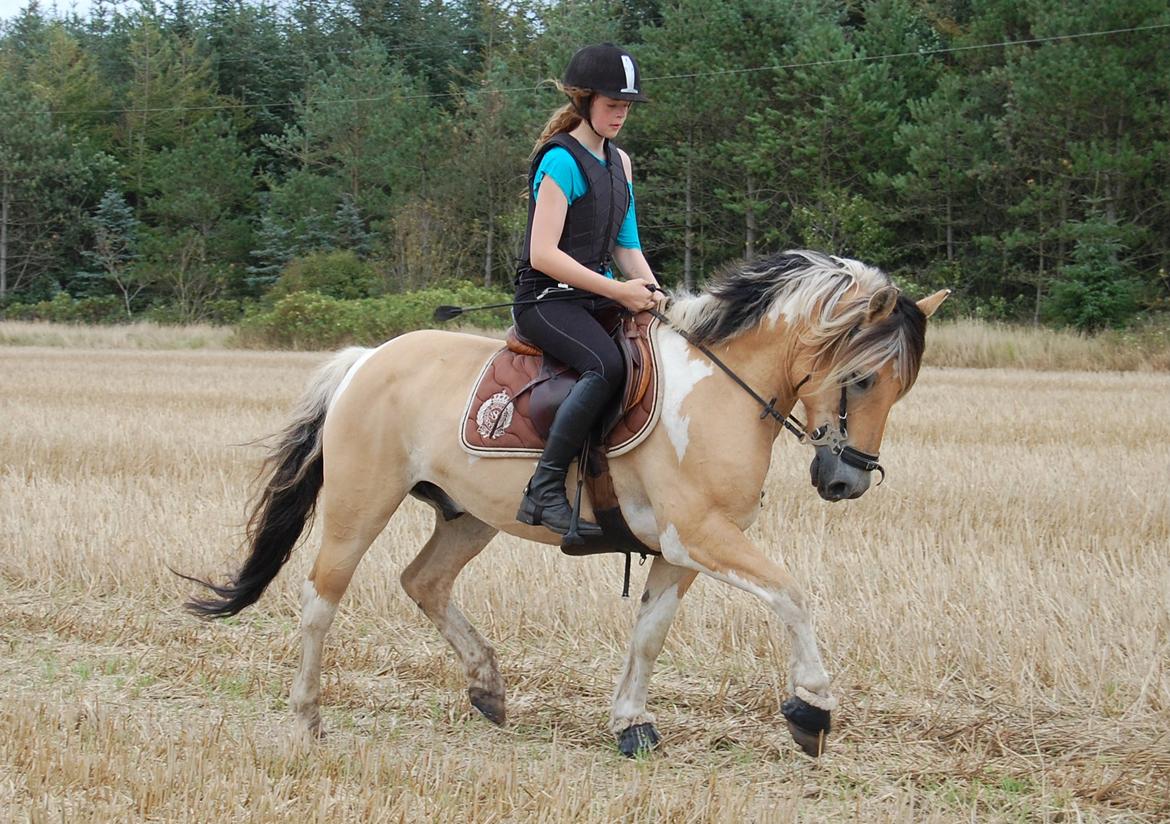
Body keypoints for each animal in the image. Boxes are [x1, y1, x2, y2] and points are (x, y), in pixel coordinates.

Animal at [182, 250, 950, 758]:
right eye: (862, 378)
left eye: (901, 386)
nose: (848, 481)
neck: (719, 389)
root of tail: (368, 358)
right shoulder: (702, 534)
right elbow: (793, 594)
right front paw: (811, 709)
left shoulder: (683, 550)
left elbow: (649, 634)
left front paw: (632, 724)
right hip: (359, 503)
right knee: (321, 597)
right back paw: (308, 719)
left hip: (469, 516)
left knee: (423, 581)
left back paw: (487, 686)